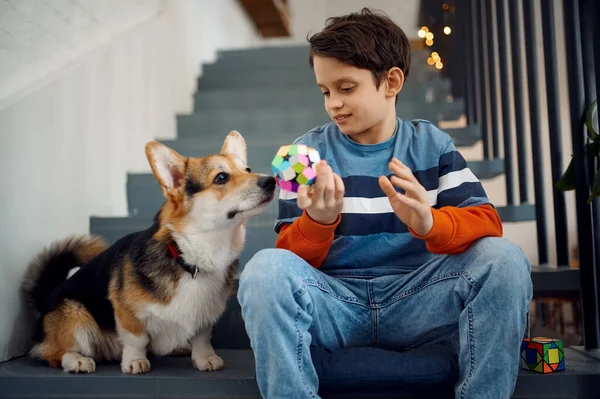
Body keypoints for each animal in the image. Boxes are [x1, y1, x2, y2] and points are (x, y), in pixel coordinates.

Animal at [22, 131, 276, 376]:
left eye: (247, 169)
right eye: (221, 178)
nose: (271, 181)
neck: (190, 256)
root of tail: (45, 298)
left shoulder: (205, 314)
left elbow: (202, 338)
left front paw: (206, 358)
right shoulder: (127, 313)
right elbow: (137, 339)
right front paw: (135, 361)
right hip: (75, 314)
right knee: (56, 353)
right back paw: (78, 361)